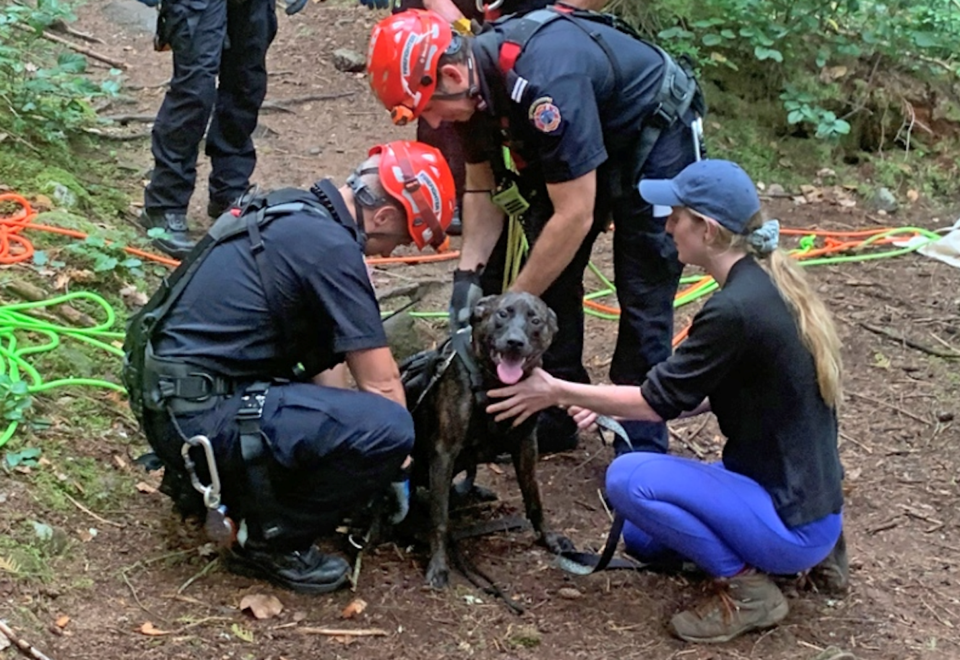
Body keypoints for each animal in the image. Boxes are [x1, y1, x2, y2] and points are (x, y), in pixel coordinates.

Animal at [404, 292, 568, 592]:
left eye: (535, 320)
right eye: (503, 314)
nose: (514, 342)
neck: (497, 384)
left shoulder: (527, 445)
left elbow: (535, 499)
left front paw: (548, 538)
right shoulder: (444, 451)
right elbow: (439, 519)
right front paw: (438, 566)